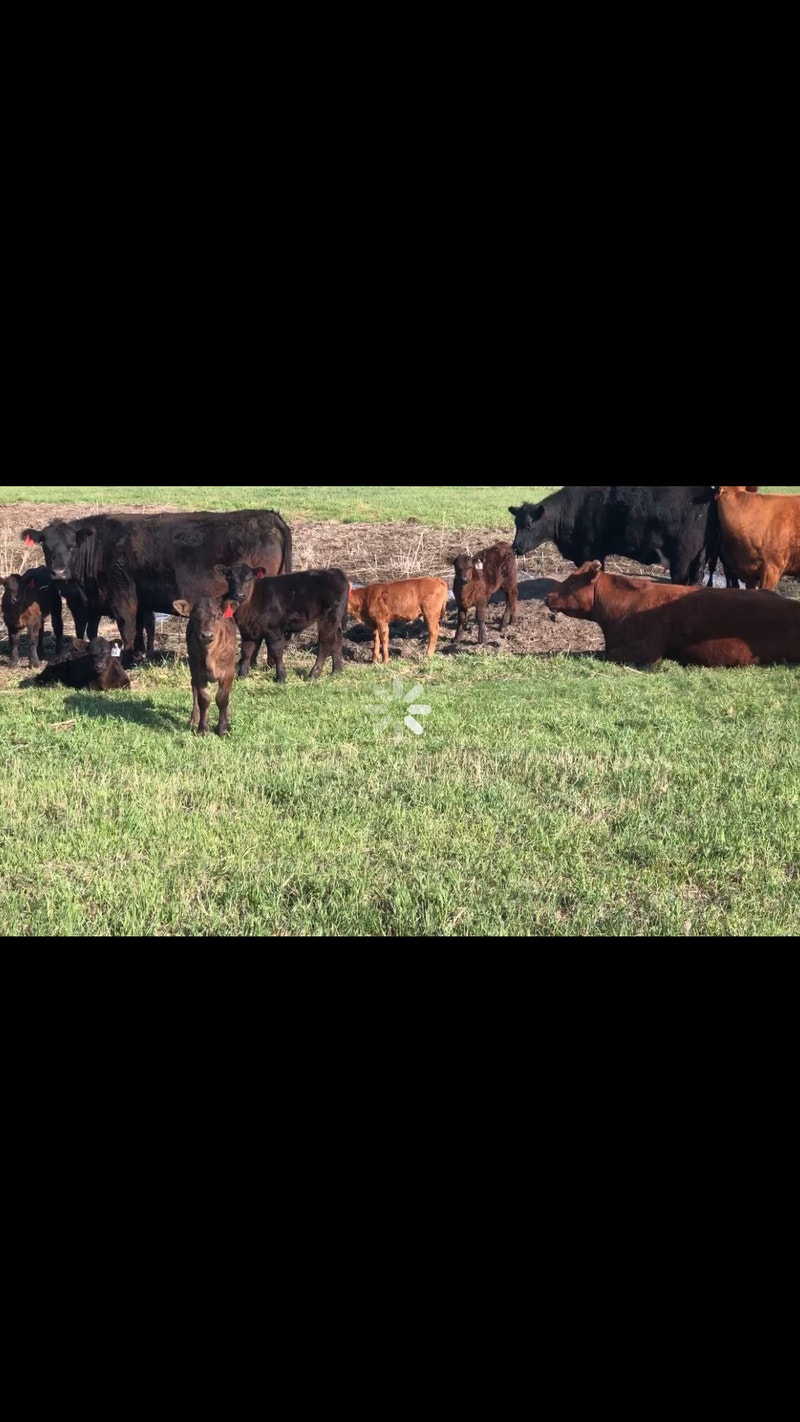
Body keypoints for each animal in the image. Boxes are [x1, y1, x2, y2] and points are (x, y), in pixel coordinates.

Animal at [20, 508, 292, 665]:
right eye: (46, 546)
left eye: (72, 547)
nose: (59, 572)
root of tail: (269, 516)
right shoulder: (139, 600)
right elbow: (141, 626)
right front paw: (140, 655)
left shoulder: (123, 598)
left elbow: (128, 628)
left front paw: (126, 659)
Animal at [172, 596, 238, 737]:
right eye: (195, 617)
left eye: (218, 615)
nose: (207, 635)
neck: (210, 655)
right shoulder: (198, 672)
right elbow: (204, 699)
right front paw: (203, 729)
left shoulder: (228, 672)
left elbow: (222, 699)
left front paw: (223, 728)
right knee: (193, 687)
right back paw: (194, 718)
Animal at [510, 487, 731, 586]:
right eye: (515, 523)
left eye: (529, 524)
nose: (515, 547)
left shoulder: (589, 551)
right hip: (700, 555)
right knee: (696, 579)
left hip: (683, 557)